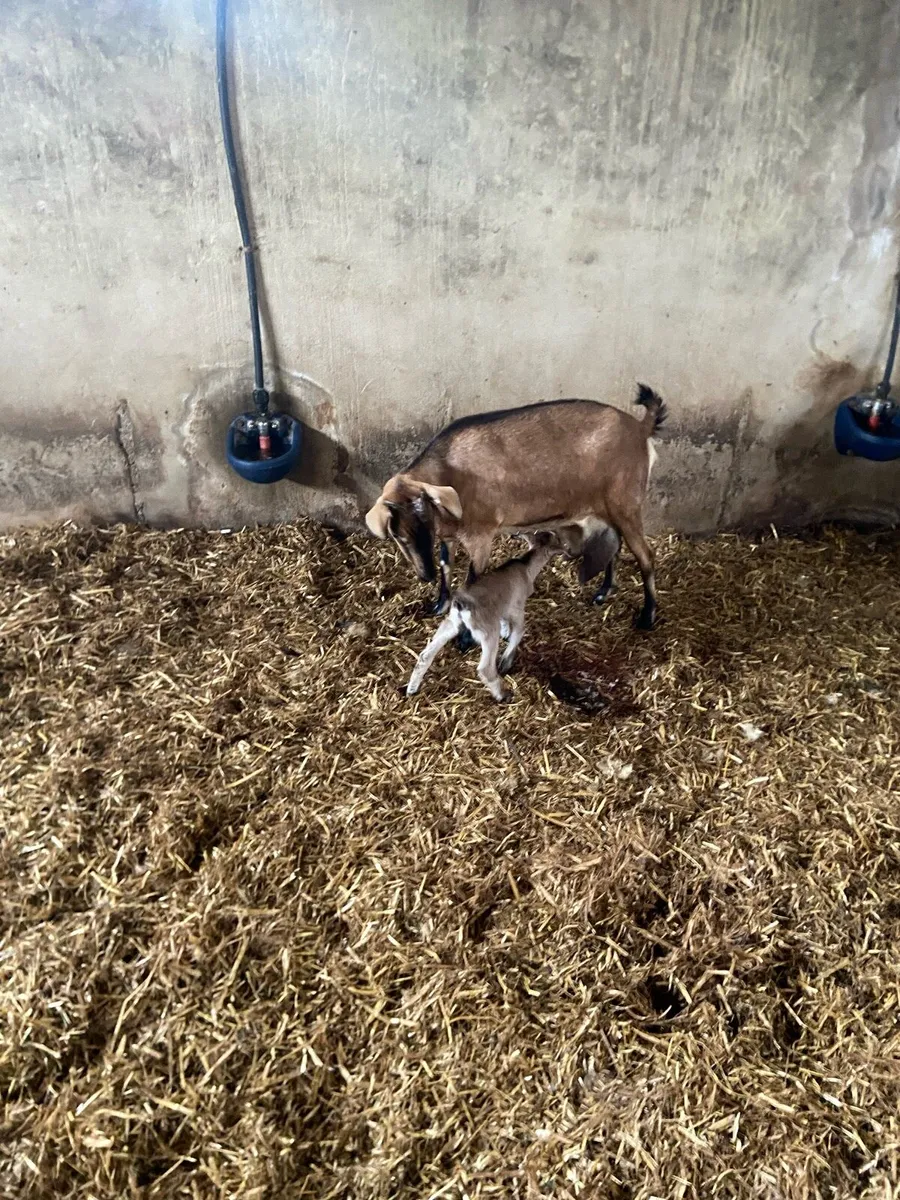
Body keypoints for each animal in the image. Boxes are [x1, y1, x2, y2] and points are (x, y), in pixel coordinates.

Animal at [366, 384, 666, 631]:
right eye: (398, 535)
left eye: (425, 523)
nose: (424, 575)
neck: (448, 471)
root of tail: (641, 427)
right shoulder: (449, 536)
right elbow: (445, 566)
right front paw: (438, 605)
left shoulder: (480, 534)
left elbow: (473, 579)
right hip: (605, 508)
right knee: (614, 544)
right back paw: (603, 592)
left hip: (626, 503)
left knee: (646, 556)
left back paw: (647, 617)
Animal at [406, 532, 561, 702]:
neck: (525, 567)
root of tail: (462, 605)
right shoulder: (516, 607)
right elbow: (519, 631)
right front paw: (506, 661)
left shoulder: (503, 608)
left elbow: (505, 622)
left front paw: (505, 633)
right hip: (488, 632)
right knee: (485, 668)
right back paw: (503, 695)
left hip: (451, 623)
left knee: (425, 656)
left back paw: (411, 689)